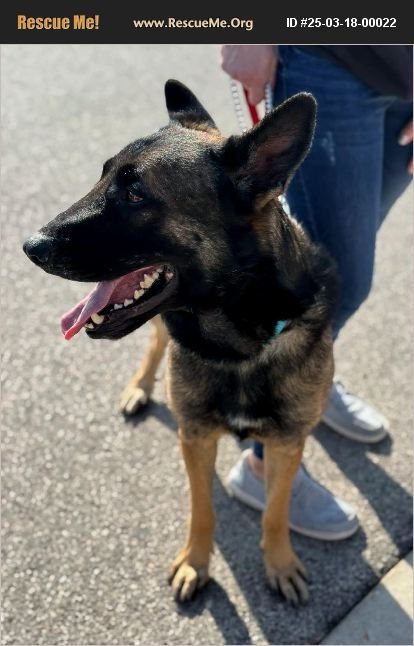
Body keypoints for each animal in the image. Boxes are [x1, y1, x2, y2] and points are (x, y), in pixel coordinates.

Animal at [23, 80, 337, 604]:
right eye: (102, 177)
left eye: (135, 193)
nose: (30, 245)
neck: (240, 347)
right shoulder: (195, 437)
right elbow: (202, 509)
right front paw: (195, 562)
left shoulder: (288, 443)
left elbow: (276, 511)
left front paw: (279, 562)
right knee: (154, 341)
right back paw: (139, 387)